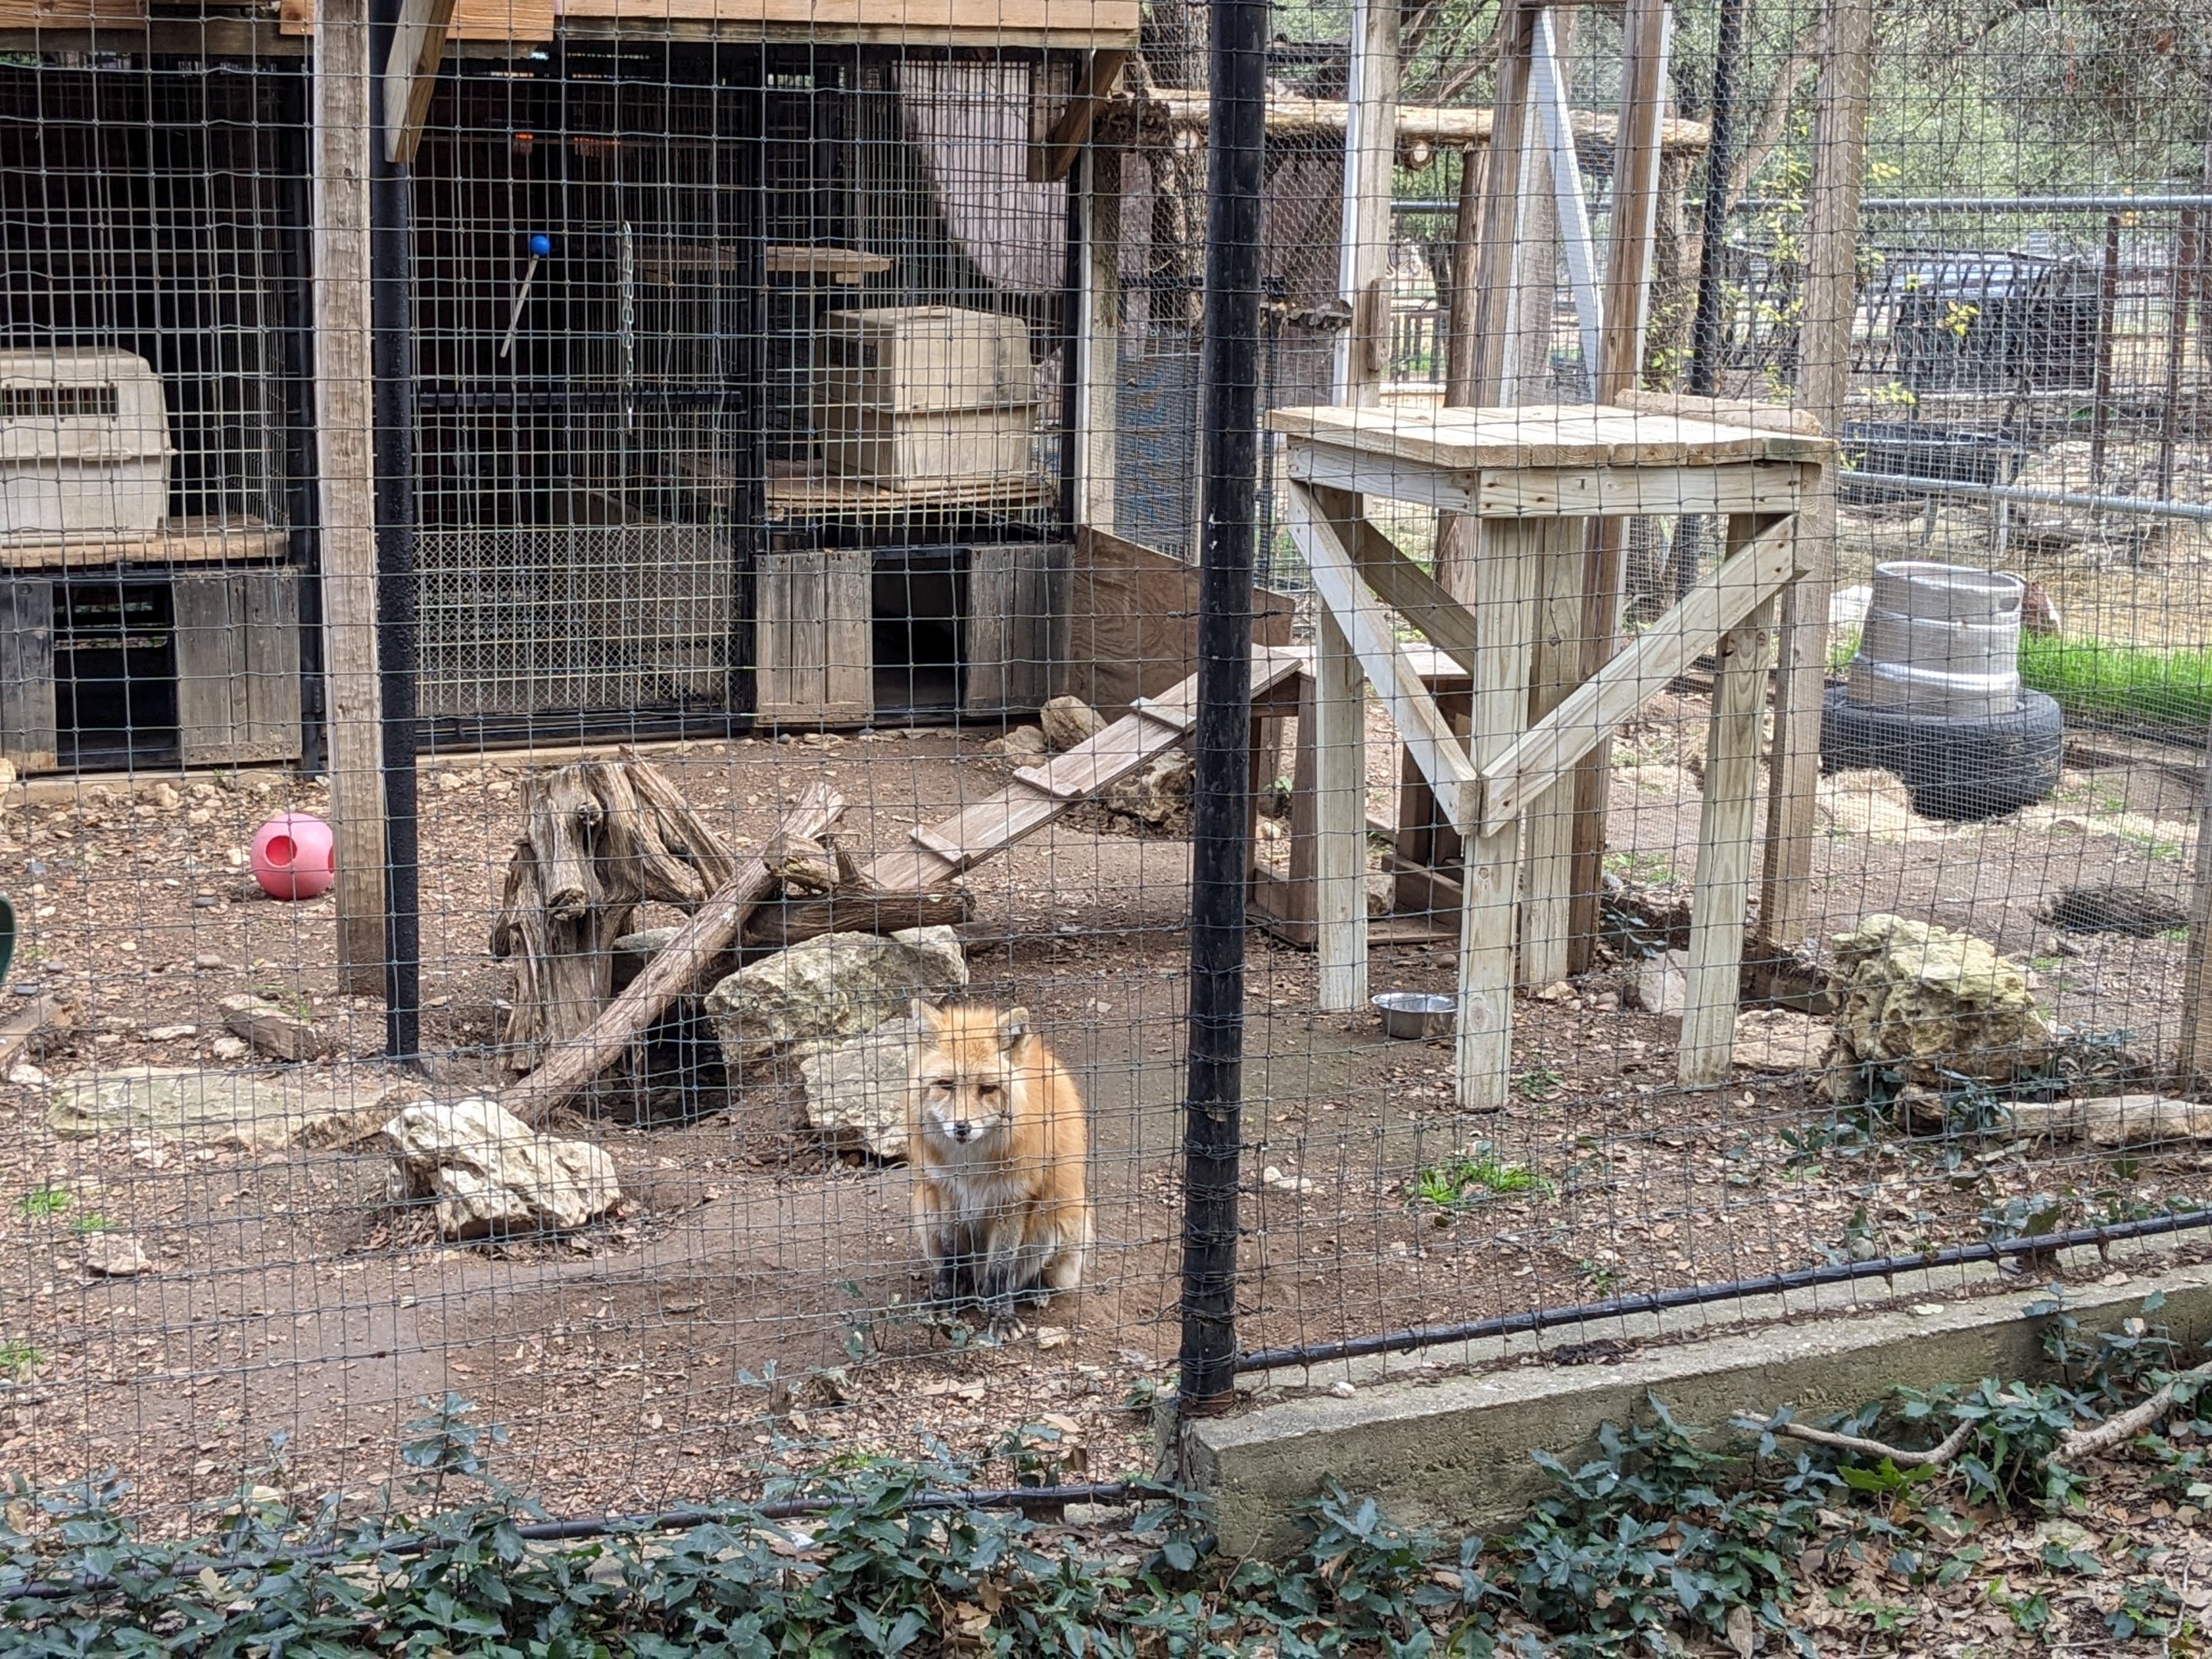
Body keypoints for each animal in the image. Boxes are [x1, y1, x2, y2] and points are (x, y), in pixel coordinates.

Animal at [907, 1000, 1092, 1341]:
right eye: (946, 1085)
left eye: (988, 1088)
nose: (962, 1127)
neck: (972, 1166)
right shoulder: (945, 1189)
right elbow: (953, 1256)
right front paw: (947, 1297)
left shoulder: (1014, 1196)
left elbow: (1002, 1268)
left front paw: (1002, 1316)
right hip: (923, 1209)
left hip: (1057, 1218)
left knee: (1036, 1276)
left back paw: (1035, 1291)